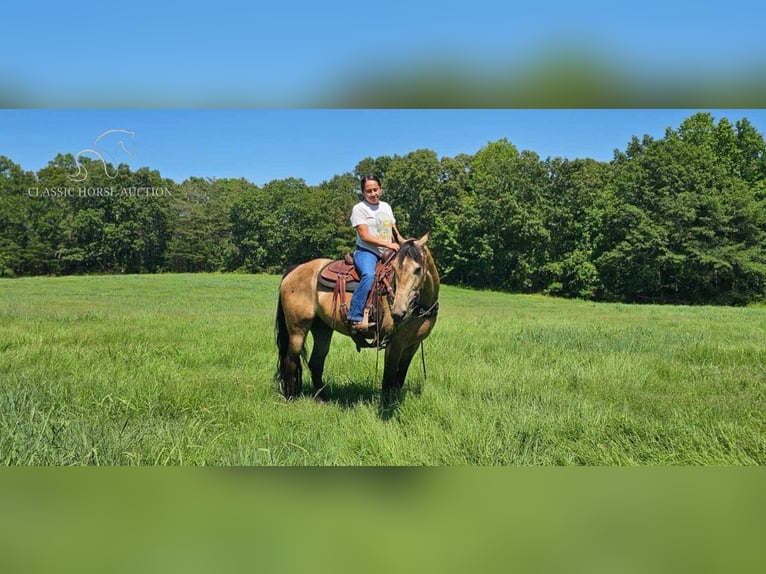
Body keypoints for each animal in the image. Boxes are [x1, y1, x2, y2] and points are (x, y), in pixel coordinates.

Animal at [280, 233, 440, 400]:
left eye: (418, 269)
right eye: (395, 268)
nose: (397, 311)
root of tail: (295, 269)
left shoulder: (412, 344)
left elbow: (400, 377)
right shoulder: (394, 343)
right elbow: (388, 379)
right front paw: (386, 403)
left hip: (322, 328)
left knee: (316, 363)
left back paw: (321, 398)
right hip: (297, 329)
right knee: (291, 361)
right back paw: (290, 398)